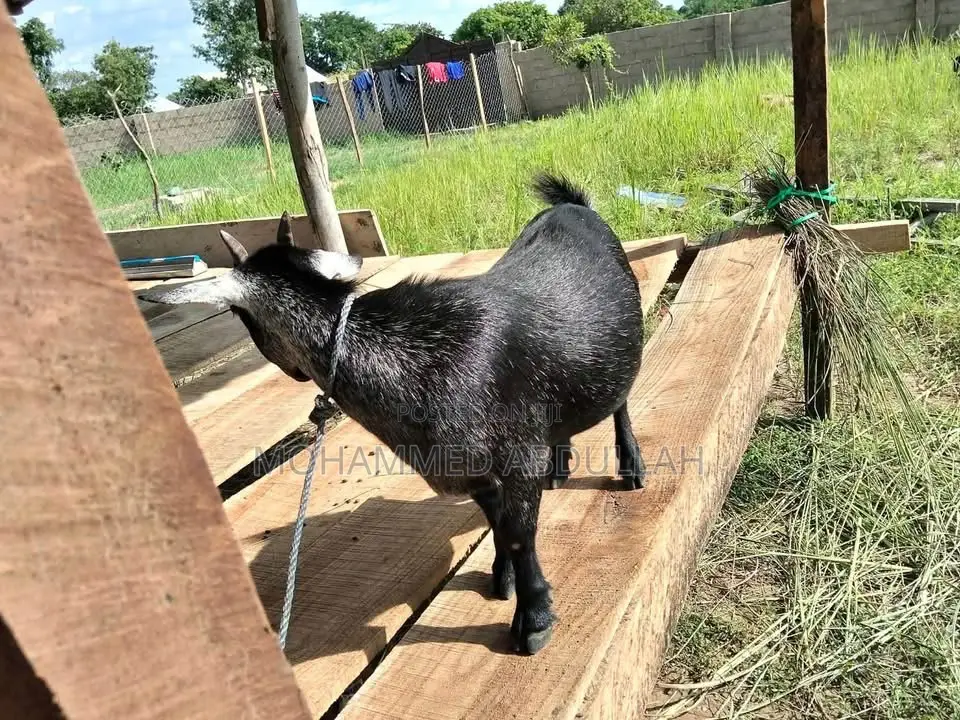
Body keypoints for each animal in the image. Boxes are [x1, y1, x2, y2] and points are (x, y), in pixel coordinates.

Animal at [144, 172, 645, 655]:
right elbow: (498, 524)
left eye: (236, 313)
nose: (294, 374)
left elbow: (520, 533)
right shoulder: (469, 470)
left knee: (620, 401)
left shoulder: (515, 456)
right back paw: (559, 468)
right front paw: (500, 578)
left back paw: (631, 468)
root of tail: (575, 205)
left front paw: (533, 620)